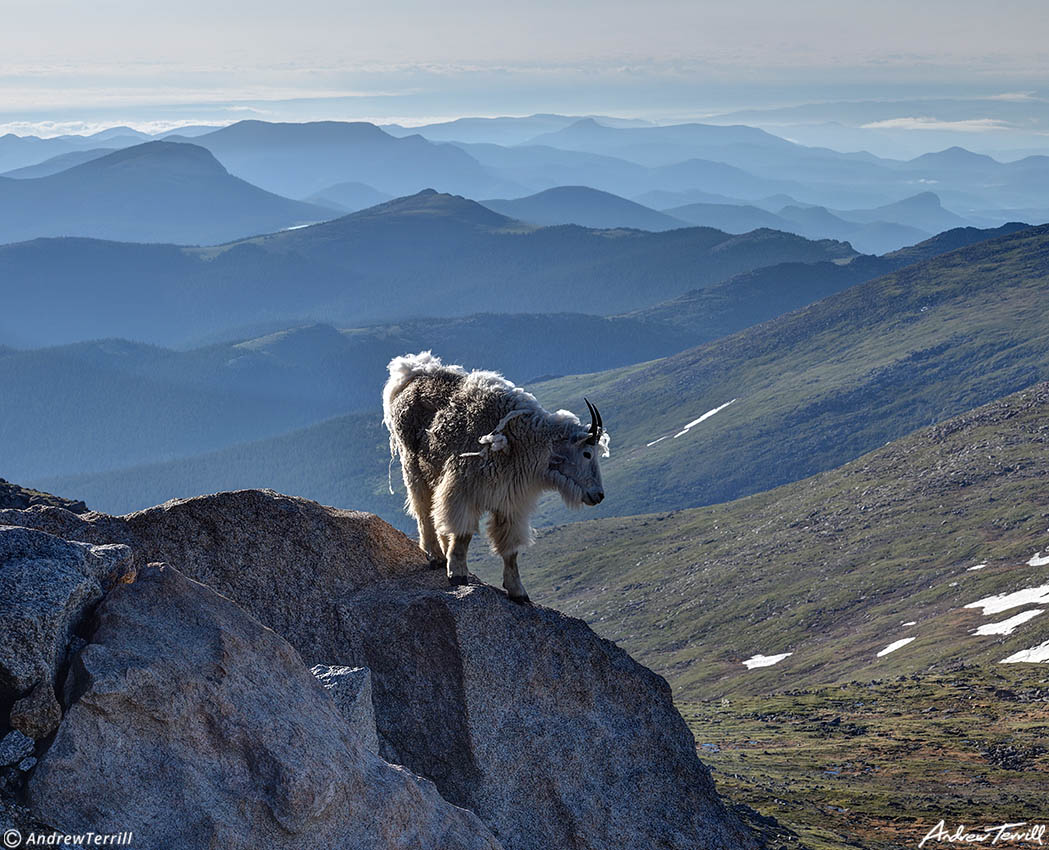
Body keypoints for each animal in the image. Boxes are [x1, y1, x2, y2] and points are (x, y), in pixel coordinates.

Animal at [381, 350, 612, 604]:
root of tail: (410, 375)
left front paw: (518, 592)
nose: (598, 495)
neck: (522, 440)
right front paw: (457, 574)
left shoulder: (509, 501)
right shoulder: (464, 488)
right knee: (422, 509)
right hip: (411, 465)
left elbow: (510, 550)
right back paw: (436, 556)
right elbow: (463, 532)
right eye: (587, 453)